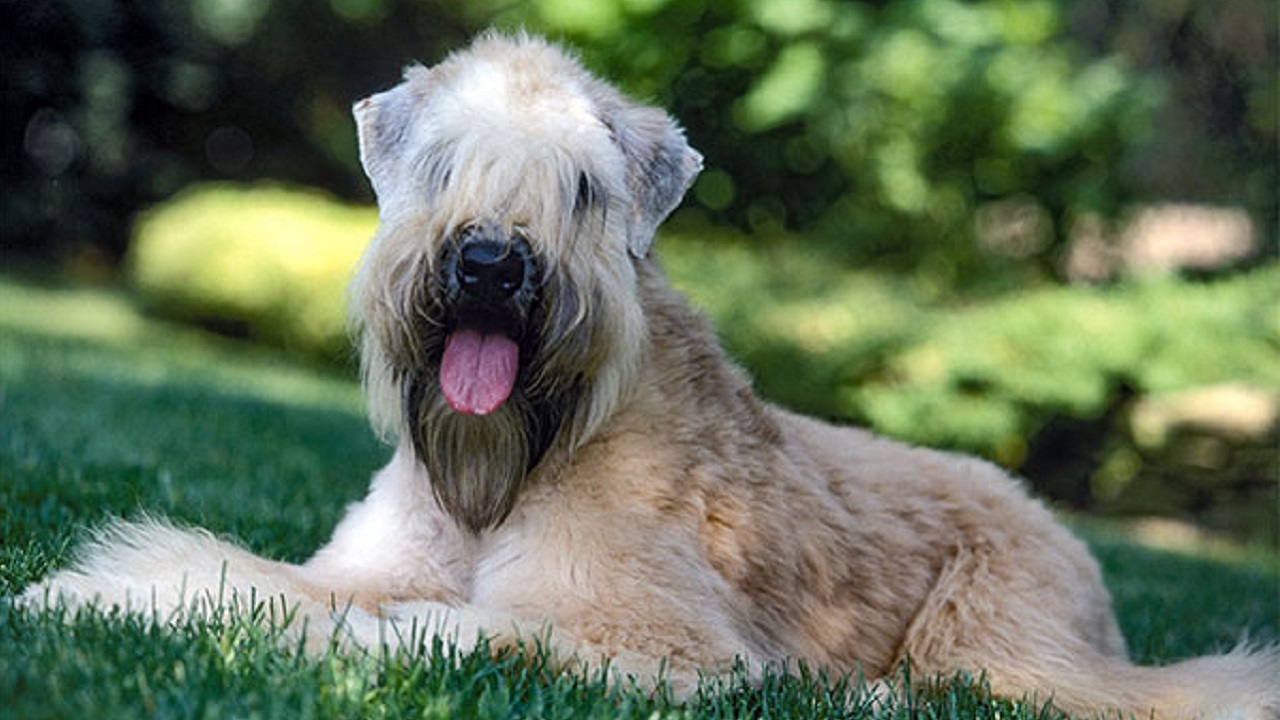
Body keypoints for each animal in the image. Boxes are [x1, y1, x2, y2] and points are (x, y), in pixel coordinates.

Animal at [17, 30, 1269, 712]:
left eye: (580, 186)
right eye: (442, 161)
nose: (489, 264)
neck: (509, 467)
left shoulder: (636, 633)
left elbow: (442, 628)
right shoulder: (356, 567)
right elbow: (235, 574)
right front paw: (95, 595)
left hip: (1000, 646)